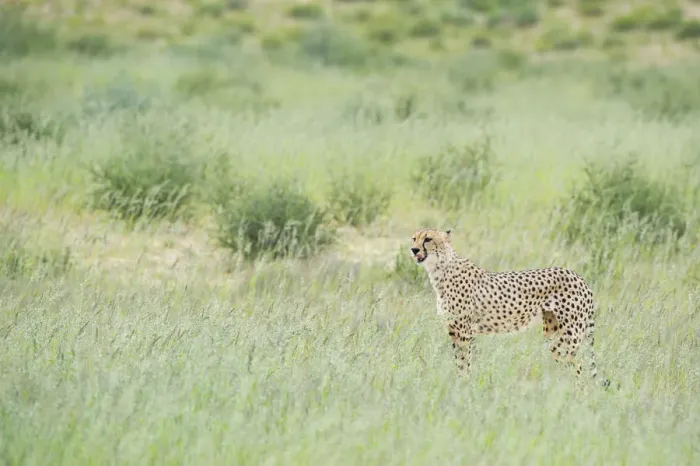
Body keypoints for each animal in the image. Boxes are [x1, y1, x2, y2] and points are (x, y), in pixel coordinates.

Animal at [410, 227, 609, 388]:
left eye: (428, 239)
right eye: (414, 239)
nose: (414, 250)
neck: (440, 268)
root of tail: (578, 276)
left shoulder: (463, 332)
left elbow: (463, 362)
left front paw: (463, 387)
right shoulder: (455, 330)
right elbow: (460, 363)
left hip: (568, 336)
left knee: (579, 366)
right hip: (554, 337)